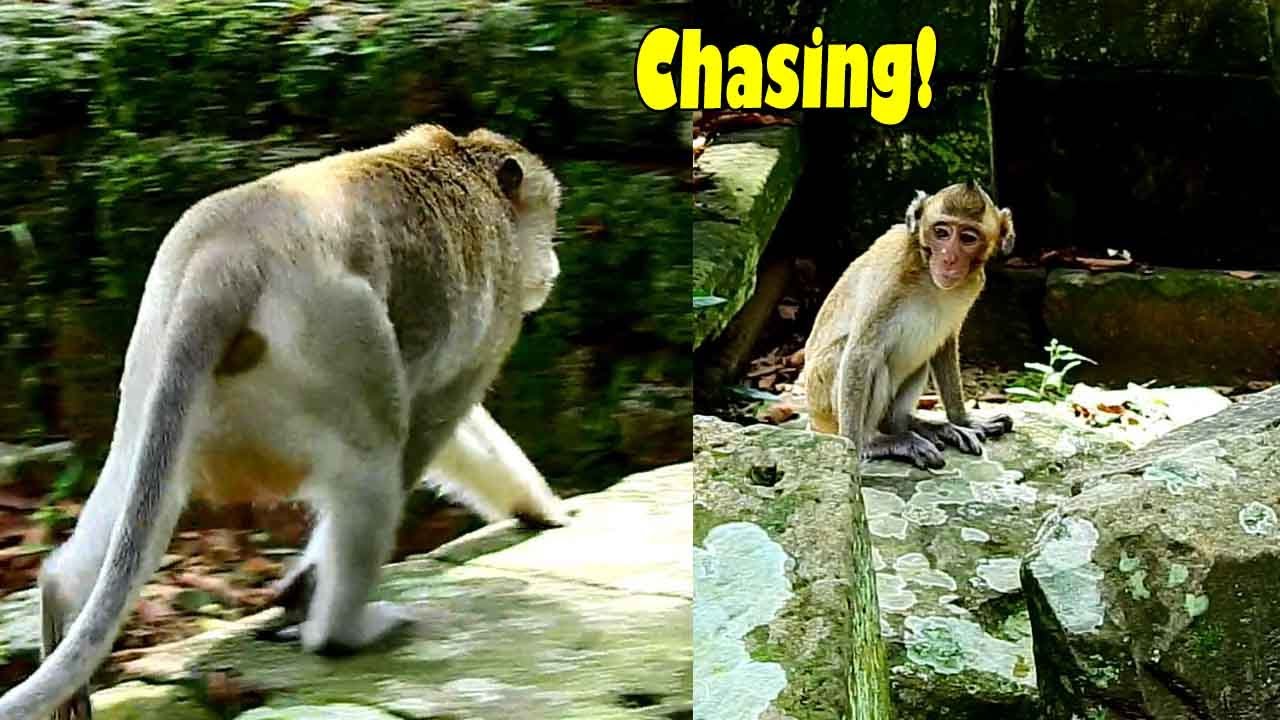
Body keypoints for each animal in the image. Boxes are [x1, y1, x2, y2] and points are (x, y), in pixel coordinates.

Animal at [0, 124, 568, 720]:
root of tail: (226, 256)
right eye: (549, 219)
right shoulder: (496, 316)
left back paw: (62, 591)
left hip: (157, 343)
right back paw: (343, 634)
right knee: (375, 461)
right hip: (331, 333)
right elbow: (433, 425)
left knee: (141, 477)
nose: (553, 266)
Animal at [798, 181, 1015, 470]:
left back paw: (917, 426)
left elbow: (945, 346)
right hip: (823, 402)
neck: (927, 273)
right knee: (866, 359)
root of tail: (813, 420)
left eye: (968, 238)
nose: (948, 258)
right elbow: (859, 353)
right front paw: (854, 450)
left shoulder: (974, 283)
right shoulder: (890, 276)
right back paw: (878, 441)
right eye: (941, 232)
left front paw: (964, 420)